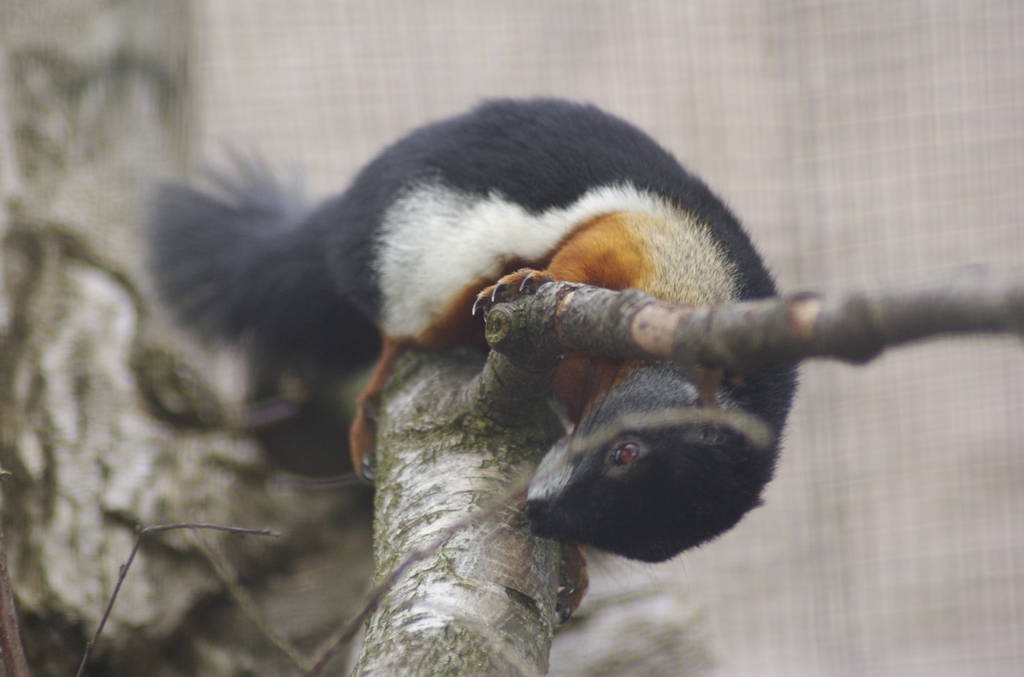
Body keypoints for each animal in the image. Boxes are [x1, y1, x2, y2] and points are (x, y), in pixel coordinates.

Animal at [148, 98, 796, 574]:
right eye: (626, 452)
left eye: (647, 539)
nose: (538, 512)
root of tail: (337, 222)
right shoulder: (651, 244)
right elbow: (581, 254)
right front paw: (534, 279)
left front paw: (574, 568)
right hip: (419, 275)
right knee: (399, 333)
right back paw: (376, 391)